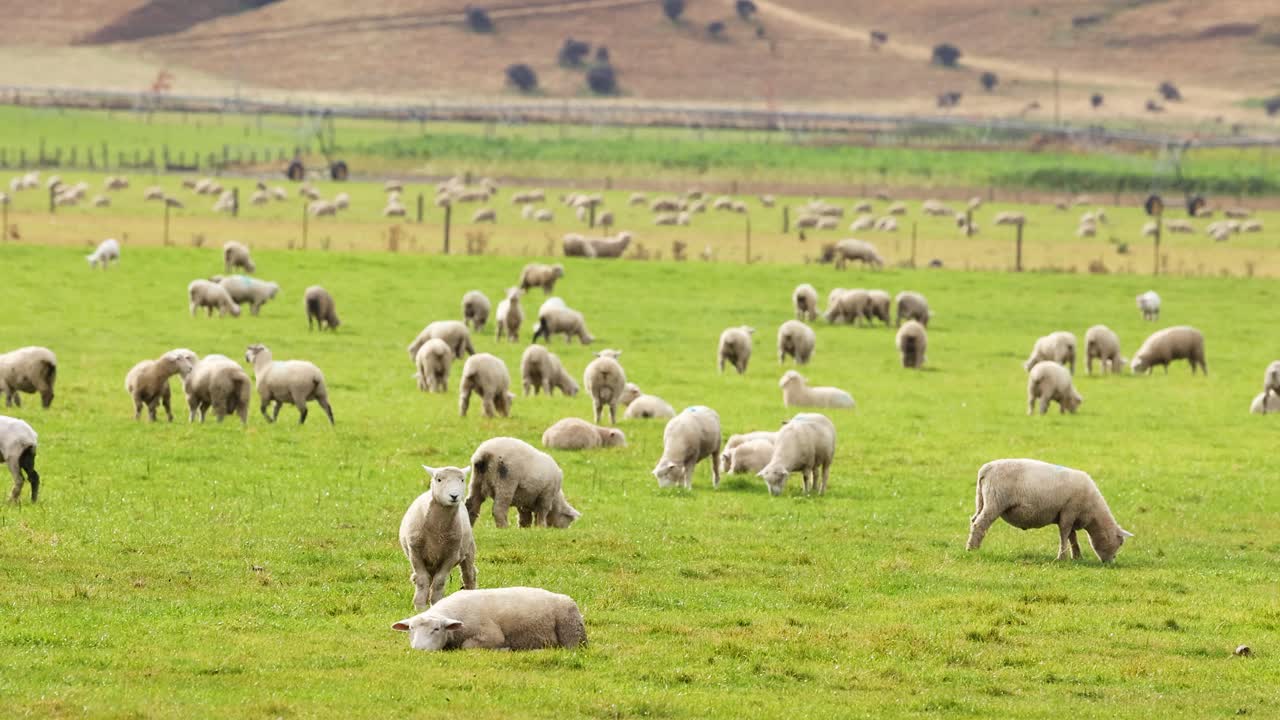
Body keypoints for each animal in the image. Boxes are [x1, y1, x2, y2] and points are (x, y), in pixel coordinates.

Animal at [391, 587, 585, 651]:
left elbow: (467, 646)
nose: (419, 649)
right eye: (411, 629)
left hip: (571, 635)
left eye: (436, 629)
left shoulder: (491, 635)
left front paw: (504, 649)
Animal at [399, 465, 478, 610]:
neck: (437, 529)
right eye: (439, 479)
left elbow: (439, 581)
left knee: (469, 575)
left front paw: (435, 602)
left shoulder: (451, 556)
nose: (454, 496)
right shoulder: (415, 553)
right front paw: (420, 606)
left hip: (468, 549)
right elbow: (422, 580)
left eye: (462, 480)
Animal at [966, 459, 1132, 562]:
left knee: (974, 520)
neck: (1093, 514)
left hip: (981, 499)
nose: (1111, 562)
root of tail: (986, 469)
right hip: (995, 502)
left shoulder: (1069, 514)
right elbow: (1065, 534)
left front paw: (1077, 556)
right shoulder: (1069, 511)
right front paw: (1062, 557)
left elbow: (1072, 536)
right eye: (1120, 543)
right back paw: (972, 549)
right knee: (980, 524)